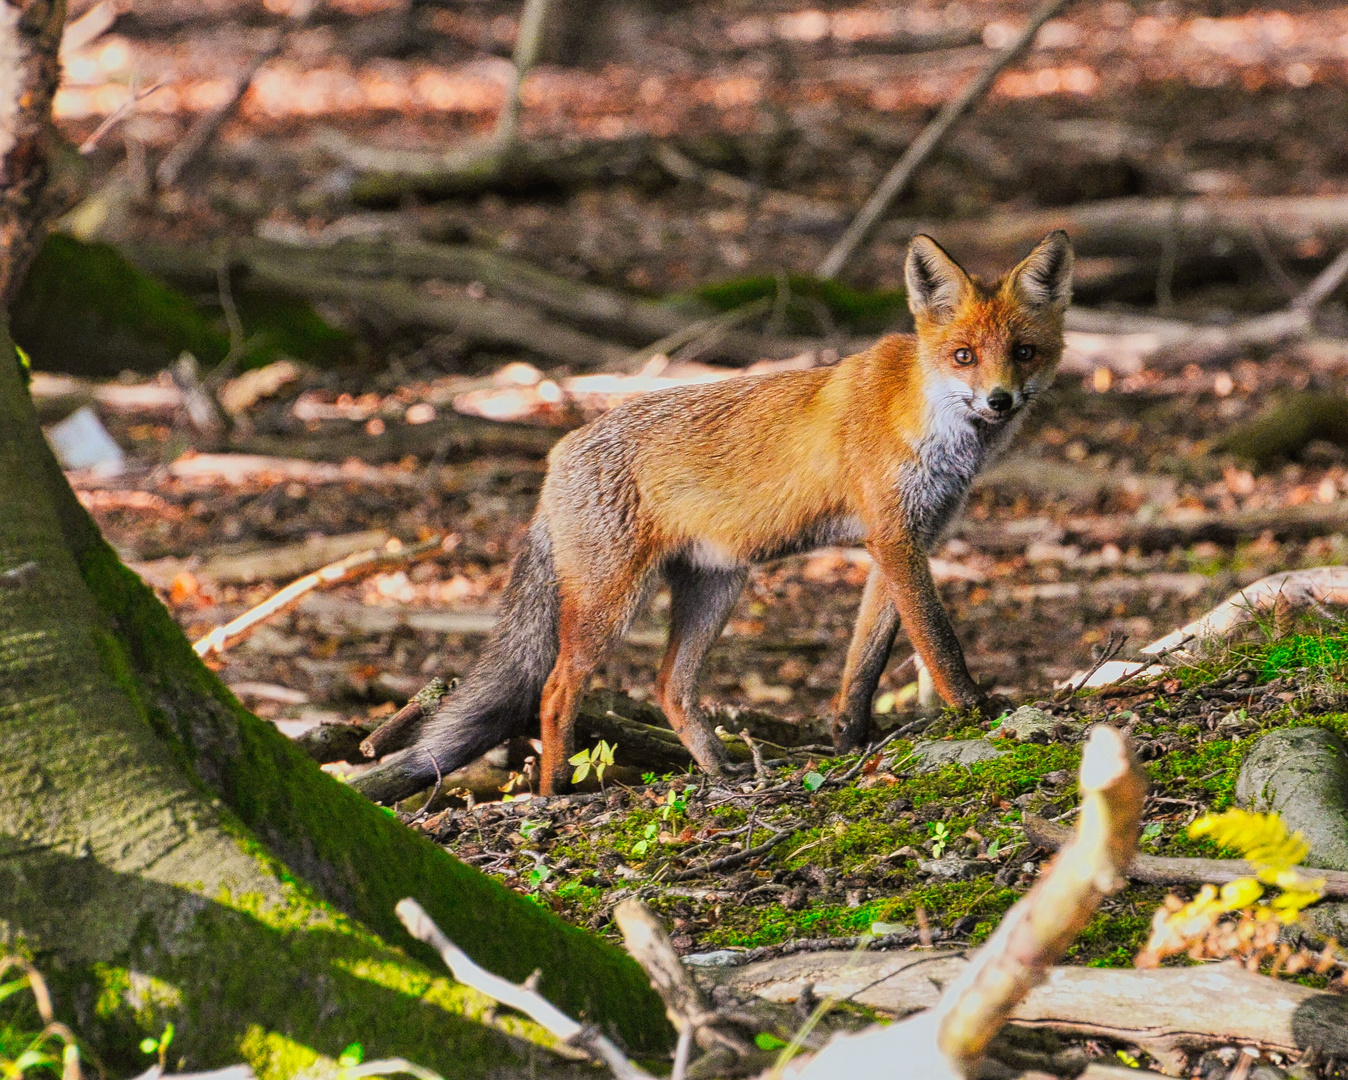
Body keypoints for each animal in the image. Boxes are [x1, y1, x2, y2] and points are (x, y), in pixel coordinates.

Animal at [355, 229, 1073, 798]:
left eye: (1024, 352)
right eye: (963, 356)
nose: (1001, 400)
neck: (928, 419)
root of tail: (558, 453)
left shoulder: (901, 542)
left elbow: (864, 663)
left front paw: (849, 743)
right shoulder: (895, 539)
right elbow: (939, 641)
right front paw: (975, 709)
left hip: (715, 587)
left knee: (669, 686)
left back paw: (722, 772)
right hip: (612, 602)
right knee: (555, 690)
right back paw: (556, 790)